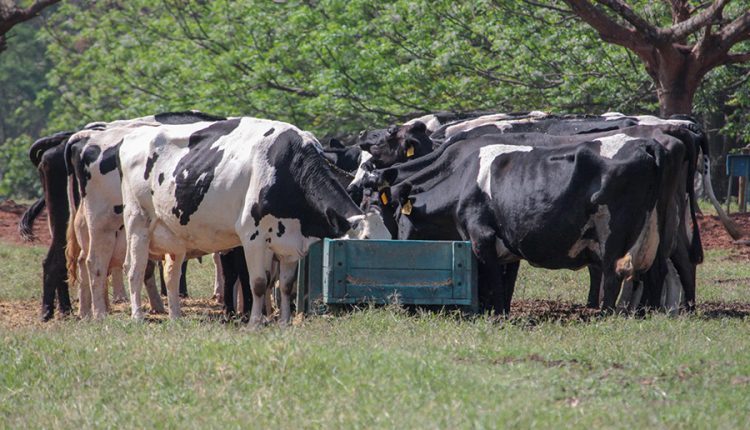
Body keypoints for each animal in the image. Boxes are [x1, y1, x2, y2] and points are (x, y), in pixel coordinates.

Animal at [118, 116, 390, 324]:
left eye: (388, 237)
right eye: (365, 239)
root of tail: (132, 138)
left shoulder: (291, 243)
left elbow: (285, 285)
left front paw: (285, 322)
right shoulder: (253, 237)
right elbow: (258, 283)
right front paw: (255, 323)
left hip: (174, 236)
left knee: (171, 275)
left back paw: (175, 317)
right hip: (137, 223)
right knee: (134, 269)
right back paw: (138, 316)